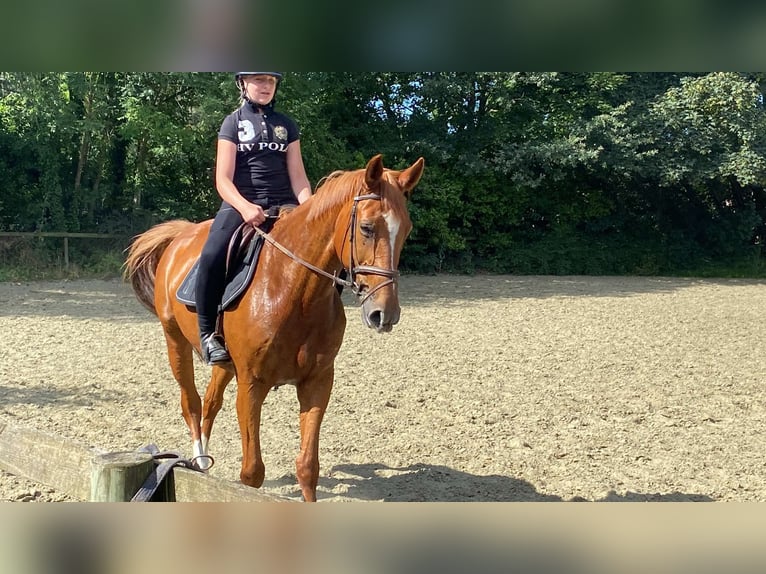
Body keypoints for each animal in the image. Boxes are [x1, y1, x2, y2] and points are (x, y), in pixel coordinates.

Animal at [124, 155, 428, 502]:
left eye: (405, 230)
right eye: (366, 227)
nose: (385, 314)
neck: (293, 289)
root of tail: (182, 235)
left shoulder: (317, 382)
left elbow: (307, 467)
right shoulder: (252, 385)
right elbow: (252, 473)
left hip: (225, 363)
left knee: (212, 402)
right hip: (175, 341)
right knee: (192, 403)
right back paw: (199, 460)